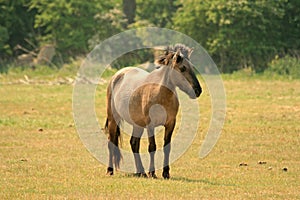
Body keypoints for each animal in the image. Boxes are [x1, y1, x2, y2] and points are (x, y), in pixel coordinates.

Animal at [103, 43, 202, 178]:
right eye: (182, 68)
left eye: (192, 67)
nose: (198, 91)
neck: (160, 94)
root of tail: (117, 75)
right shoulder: (150, 125)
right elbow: (152, 147)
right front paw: (152, 172)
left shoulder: (170, 123)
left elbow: (167, 148)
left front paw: (166, 173)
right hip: (114, 119)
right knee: (111, 142)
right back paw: (110, 170)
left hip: (137, 124)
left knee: (134, 143)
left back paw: (140, 172)